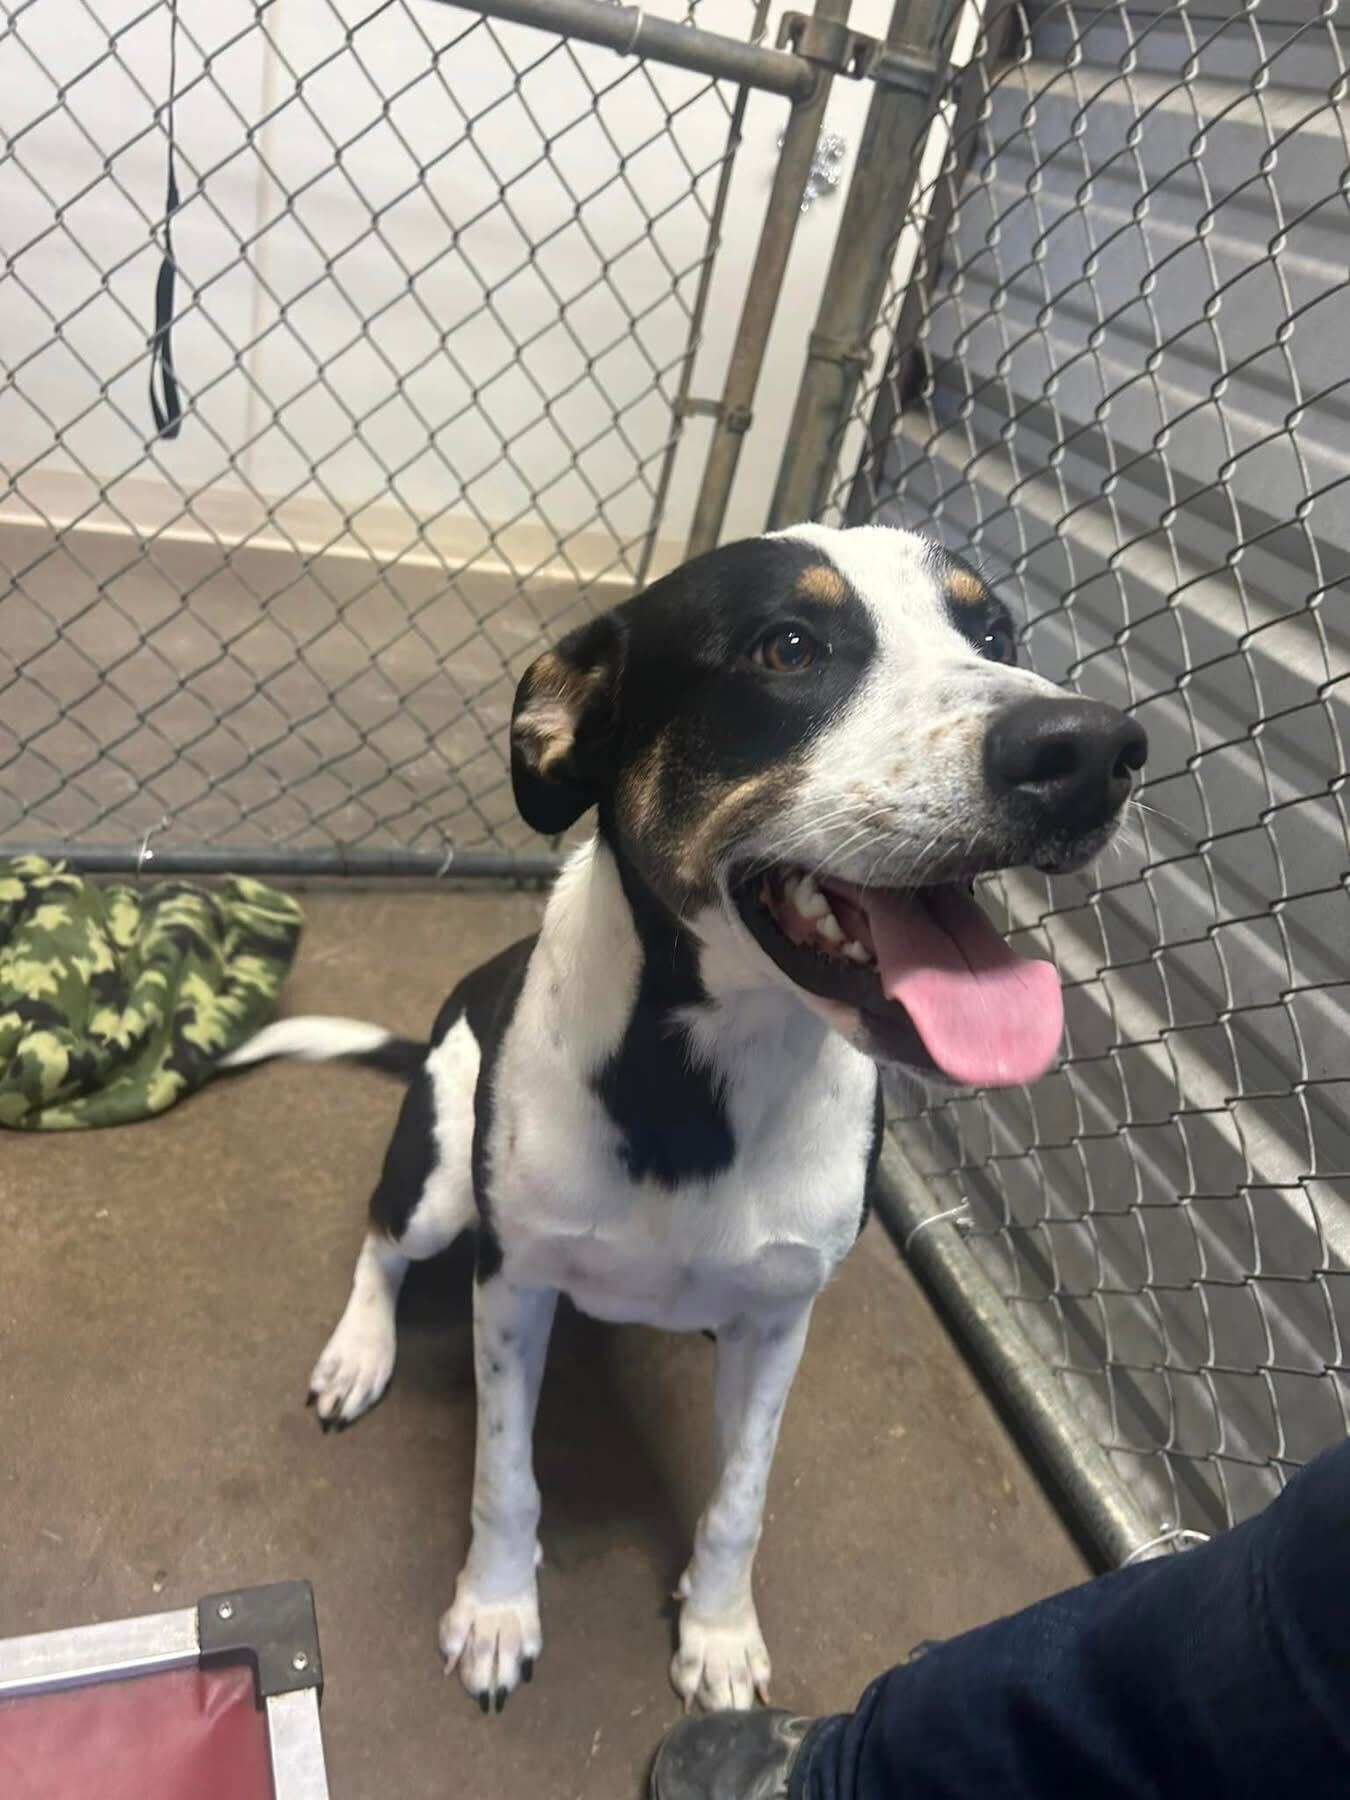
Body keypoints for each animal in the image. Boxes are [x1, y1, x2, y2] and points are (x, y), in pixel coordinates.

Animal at [225, 525, 1152, 1713]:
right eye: (788, 647)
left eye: (993, 633)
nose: (1093, 749)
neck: (706, 1079)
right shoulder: (511, 1287)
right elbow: (505, 1476)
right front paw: (496, 1609)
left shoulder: (781, 1323)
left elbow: (739, 1501)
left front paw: (716, 1630)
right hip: (435, 1184)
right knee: (382, 1245)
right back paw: (357, 1351)